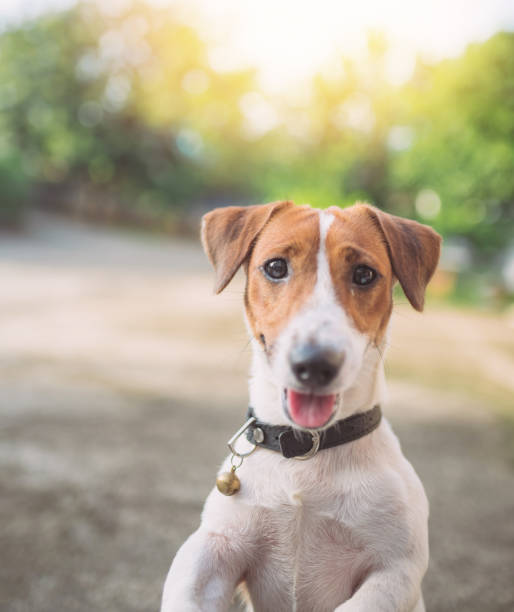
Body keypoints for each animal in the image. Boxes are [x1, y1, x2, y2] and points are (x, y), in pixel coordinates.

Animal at [161, 202, 440, 612]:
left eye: (364, 274)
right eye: (276, 267)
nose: (315, 363)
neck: (307, 452)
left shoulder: (394, 570)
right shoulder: (215, 547)